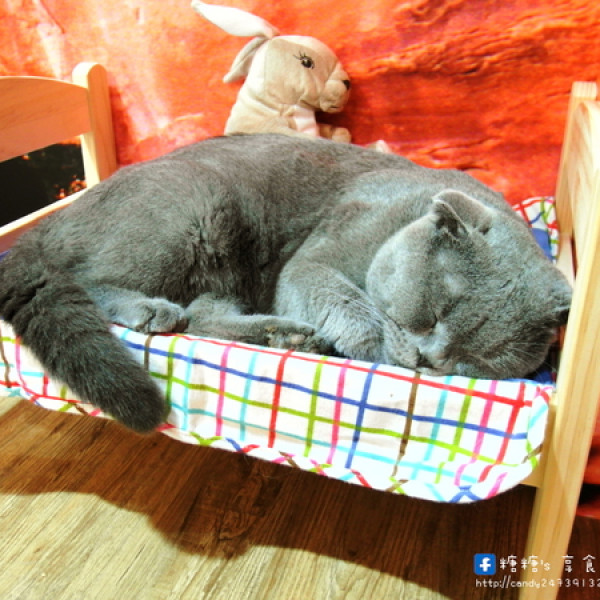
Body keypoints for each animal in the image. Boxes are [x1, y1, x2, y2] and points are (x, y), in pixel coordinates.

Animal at [0, 134, 571, 432]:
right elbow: (353, 306)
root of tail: (52, 219)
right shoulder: (311, 262)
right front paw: (375, 347)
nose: (431, 358)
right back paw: (152, 311)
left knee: (204, 316)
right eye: (433, 312)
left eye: (476, 359)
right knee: (86, 279)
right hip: (194, 205)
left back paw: (287, 336)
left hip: (221, 267)